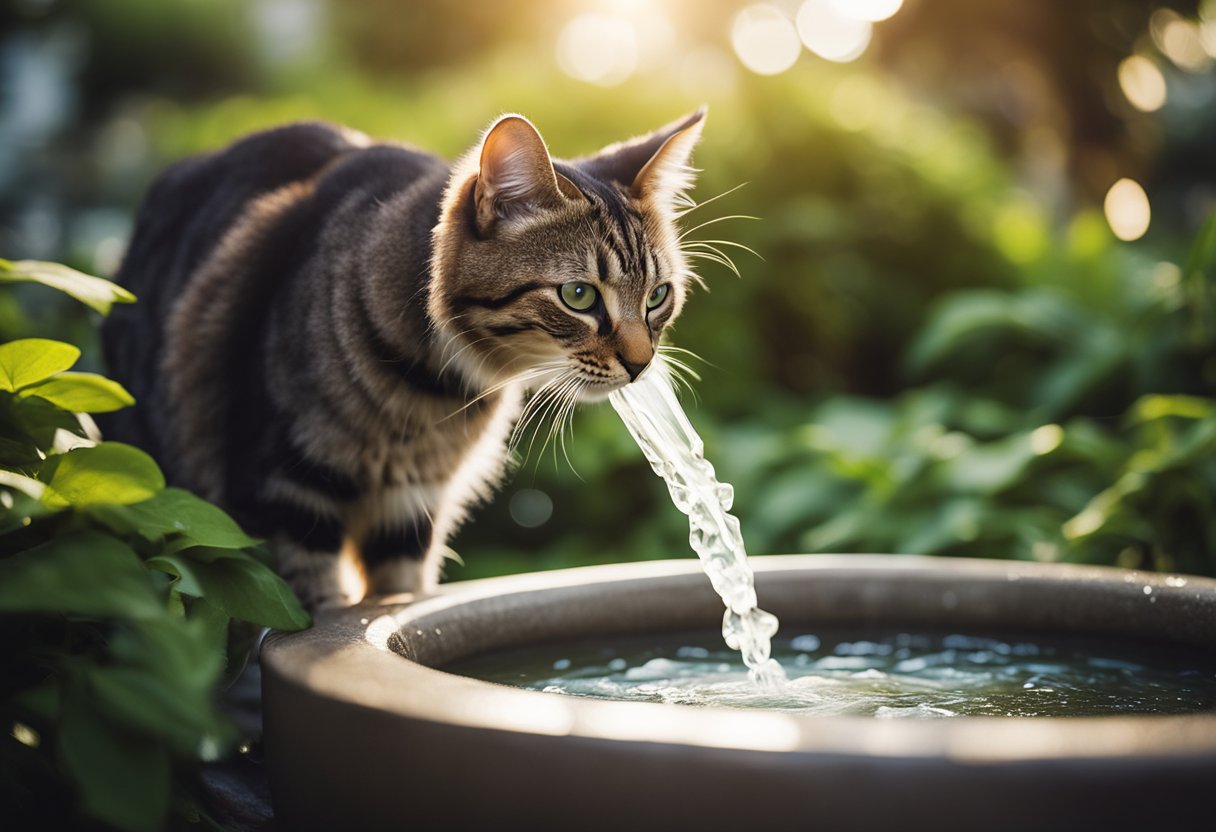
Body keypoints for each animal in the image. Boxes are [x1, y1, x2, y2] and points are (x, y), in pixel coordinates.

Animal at [100, 107, 710, 608]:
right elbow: (320, 608)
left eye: (658, 295)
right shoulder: (281, 496)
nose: (640, 363)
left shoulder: (410, 511)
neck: (431, 395)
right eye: (579, 295)